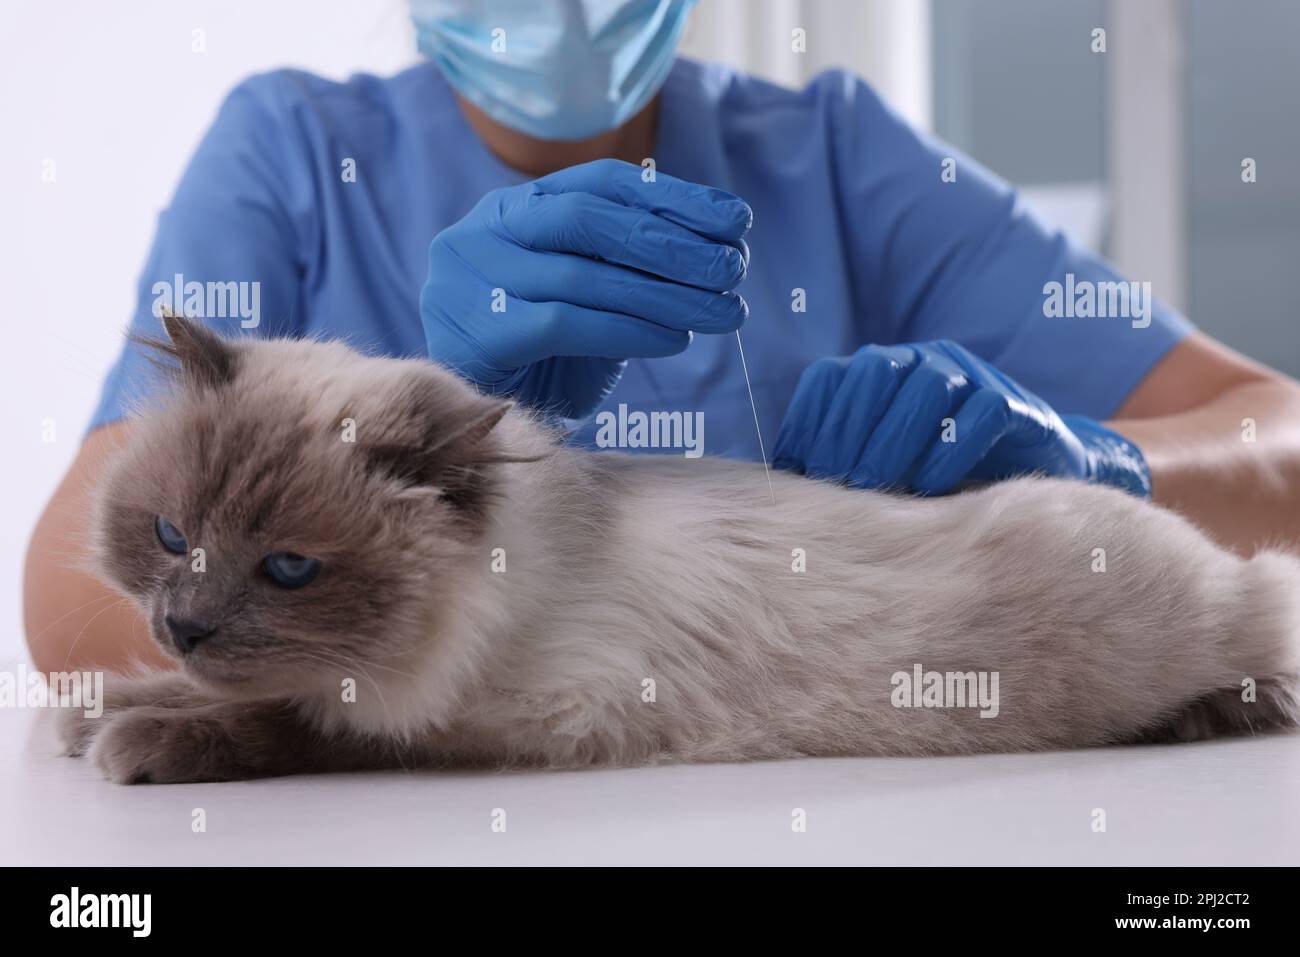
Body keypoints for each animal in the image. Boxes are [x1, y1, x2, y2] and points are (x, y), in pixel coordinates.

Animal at [58, 317, 1300, 780]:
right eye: (170, 536)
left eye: (288, 569)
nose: (182, 626)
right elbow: (250, 695)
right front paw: (103, 705)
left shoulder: (513, 723)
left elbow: (304, 721)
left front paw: (141, 738)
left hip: (1209, 618)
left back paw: (1208, 712)